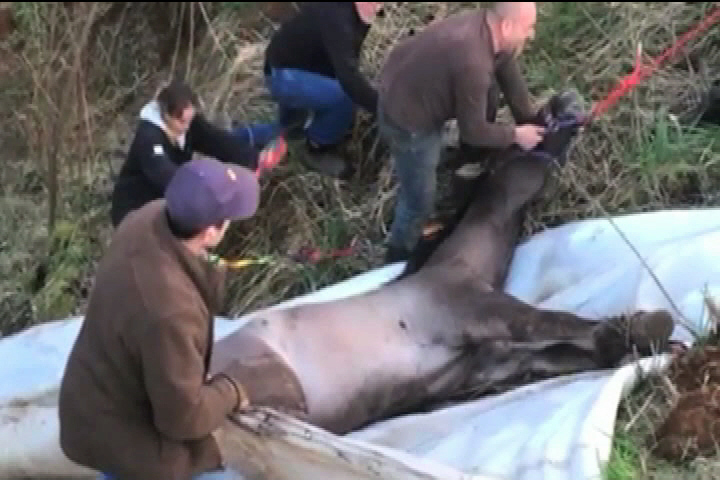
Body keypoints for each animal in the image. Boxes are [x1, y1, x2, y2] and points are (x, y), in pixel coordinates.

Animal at [208, 91, 676, 438]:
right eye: (530, 133)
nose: (569, 100)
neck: (454, 266)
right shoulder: (482, 312)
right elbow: (554, 323)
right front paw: (644, 328)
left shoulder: (490, 363)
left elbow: (560, 353)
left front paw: (633, 346)